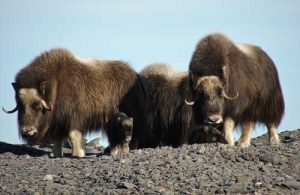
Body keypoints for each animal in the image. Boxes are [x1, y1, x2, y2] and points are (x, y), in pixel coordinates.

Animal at [2, 48, 155, 157]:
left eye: (37, 105)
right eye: (20, 104)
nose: (27, 131)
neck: (56, 85)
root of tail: (136, 76)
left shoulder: (74, 119)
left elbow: (73, 136)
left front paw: (78, 154)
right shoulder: (58, 123)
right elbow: (57, 141)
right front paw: (57, 155)